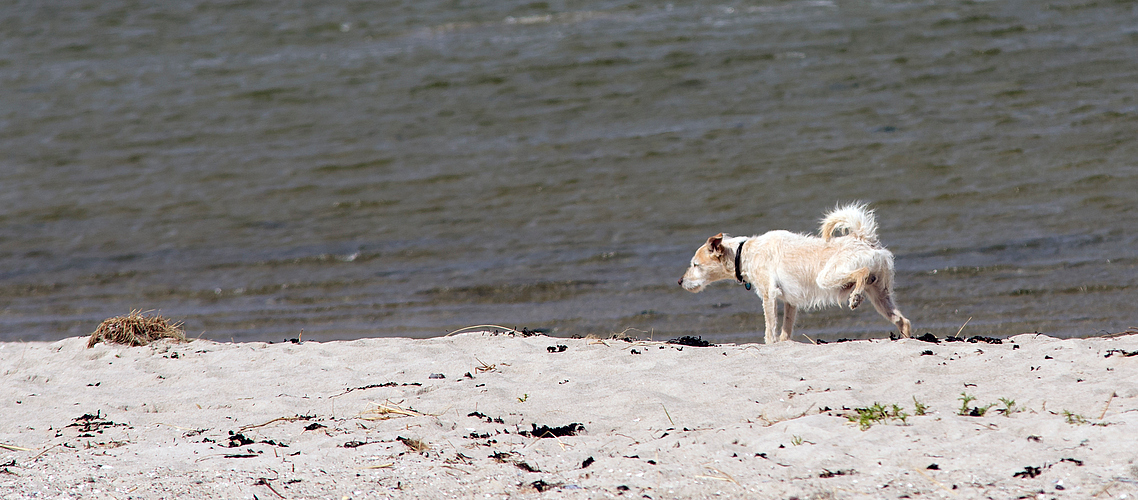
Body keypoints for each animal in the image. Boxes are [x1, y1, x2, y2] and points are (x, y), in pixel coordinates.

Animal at [678, 203, 910, 343]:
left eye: (695, 265)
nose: (680, 281)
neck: (745, 253)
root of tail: (862, 239)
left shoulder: (769, 296)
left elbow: (770, 329)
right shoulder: (790, 302)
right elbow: (785, 330)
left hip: (828, 277)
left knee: (861, 272)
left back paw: (856, 297)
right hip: (880, 296)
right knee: (903, 321)